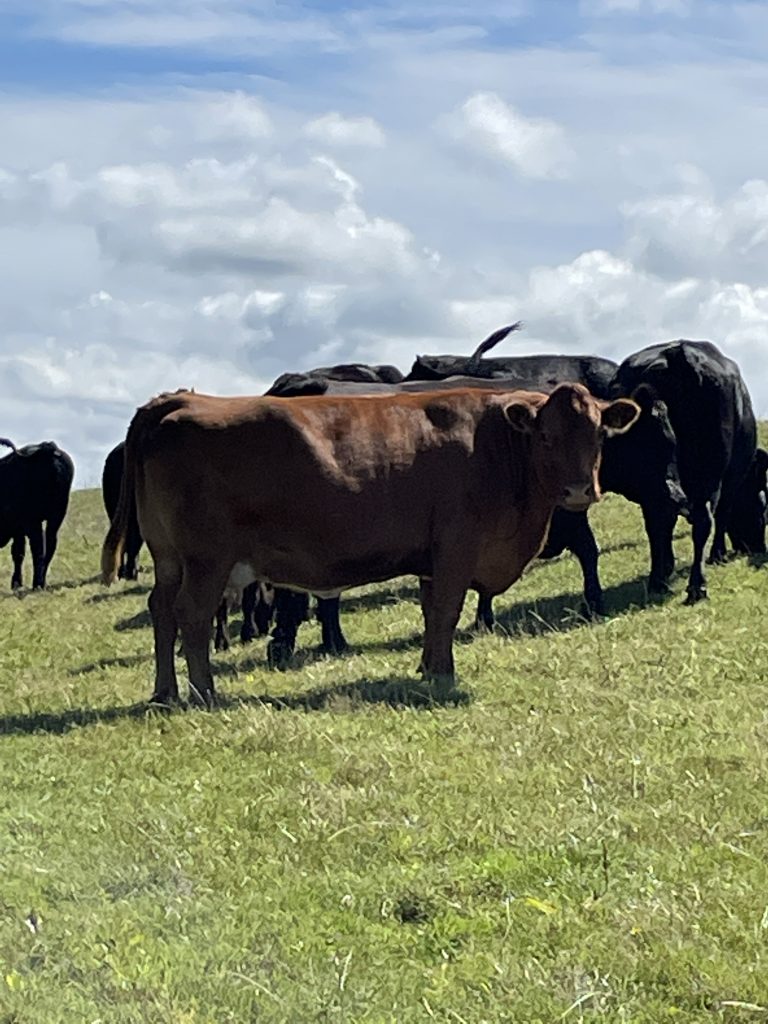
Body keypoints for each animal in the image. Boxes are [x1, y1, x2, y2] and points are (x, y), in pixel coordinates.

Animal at [0, 438, 74, 589]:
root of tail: (47, 448)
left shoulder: (19, 527)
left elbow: (18, 552)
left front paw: (16, 583)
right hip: (56, 516)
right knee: (50, 543)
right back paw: (41, 582)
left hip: (33, 520)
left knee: (38, 547)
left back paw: (37, 583)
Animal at [100, 386, 639, 706]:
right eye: (546, 436)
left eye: (599, 433)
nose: (579, 491)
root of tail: (178, 400)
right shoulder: (456, 548)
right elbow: (446, 611)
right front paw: (443, 675)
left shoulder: (432, 558)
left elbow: (430, 613)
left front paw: (427, 666)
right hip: (206, 559)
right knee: (190, 614)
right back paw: (205, 693)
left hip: (169, 558)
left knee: (161, 610)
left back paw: (165, 693)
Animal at [610, 339, 763, 602]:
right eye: (761, 507)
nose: (756, 547)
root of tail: (676, 354)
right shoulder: (731, 480)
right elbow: (722, 514)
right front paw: (718, 554)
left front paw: (666, 566)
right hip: (709, 472)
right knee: (703, 521)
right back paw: (697, 585)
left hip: (656, 483)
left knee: (658, 521)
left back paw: (658, 580)